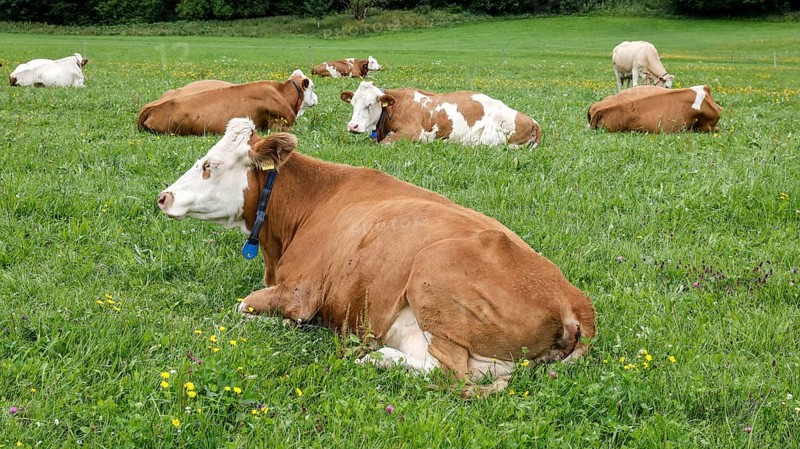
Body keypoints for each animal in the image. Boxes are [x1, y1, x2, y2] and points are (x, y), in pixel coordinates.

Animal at [157, 117, 595, 395]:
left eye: (209, 165)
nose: (164, 196)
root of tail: (573, 299)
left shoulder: (301, 293)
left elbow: (244, 307)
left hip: (431, 278)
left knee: (453, 376)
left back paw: (376, 358)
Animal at [340, 81, 542, 148]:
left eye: (370, 104)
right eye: (353, 103)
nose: (352, 126)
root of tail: (531, 119)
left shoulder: (413, 133)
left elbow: (385, 143)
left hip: (491, 136)